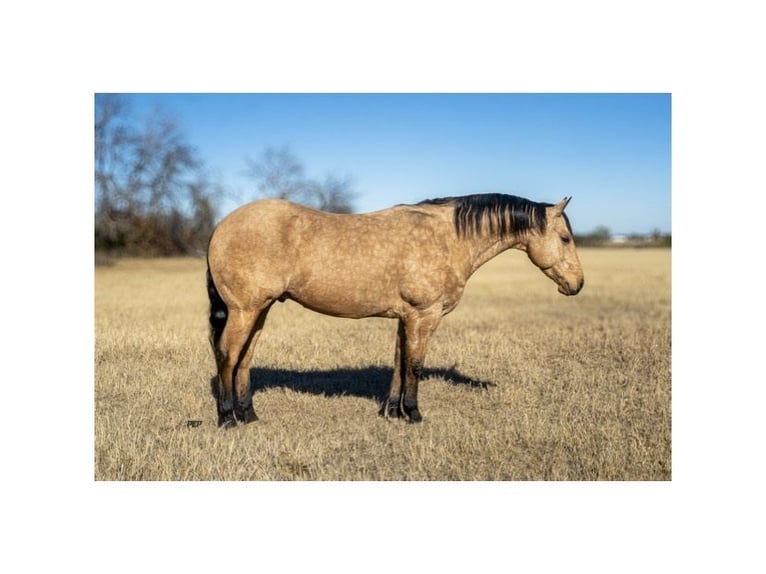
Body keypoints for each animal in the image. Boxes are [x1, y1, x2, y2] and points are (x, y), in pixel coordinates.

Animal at [206, 193, 584, 428]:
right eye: (565, 238)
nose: (577, 284)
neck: (447, 238)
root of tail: (222, 225)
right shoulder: (424, 315)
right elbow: (414, 363)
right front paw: (414, 414)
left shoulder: (407, 317)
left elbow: (400, 362)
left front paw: (393, 412)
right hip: (244, 310)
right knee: (227, 355)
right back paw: (226, 418)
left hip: (260, 310)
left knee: (244, 359)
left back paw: (249, 415)